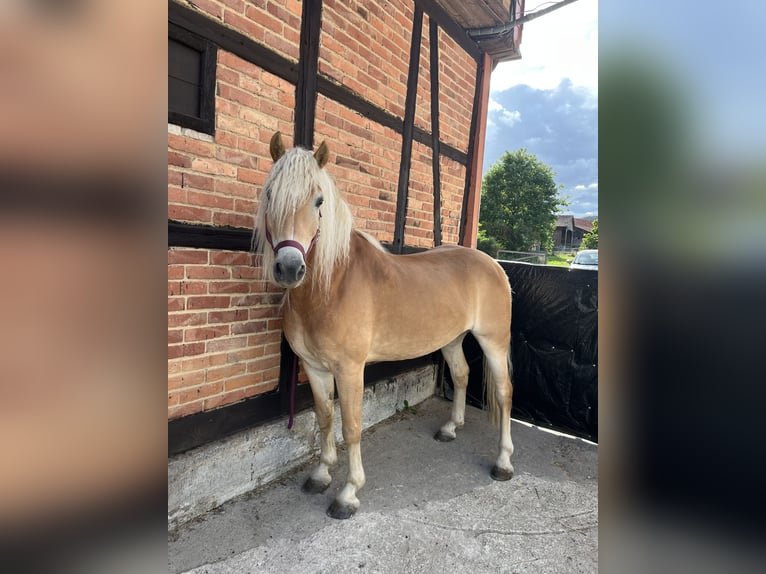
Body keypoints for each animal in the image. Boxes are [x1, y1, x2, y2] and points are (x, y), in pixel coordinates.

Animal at [252, 131, 515, 519]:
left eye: (319, 200)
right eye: (270, 193)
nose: (289, 267)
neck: (332, 286)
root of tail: (493, 264)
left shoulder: (349, 370)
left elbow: (351, 427)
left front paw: (348, 493)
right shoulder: (314, 368)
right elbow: (325, 418)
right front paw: (321, 475)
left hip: (493, 341)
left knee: (503, 391)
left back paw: (503, 463)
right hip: (452, 339)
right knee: (462, 375)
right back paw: (451, 428)